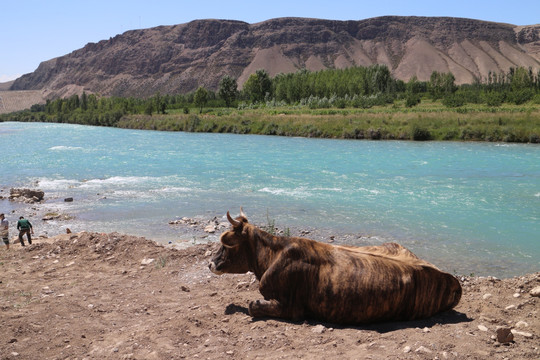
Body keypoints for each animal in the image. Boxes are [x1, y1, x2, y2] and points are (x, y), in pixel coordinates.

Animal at [209, 210, 462, 324]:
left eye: (225, 244)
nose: (210, 263)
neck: (273, 254)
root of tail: (451, 279)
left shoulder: (293, 307)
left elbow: (253, 306)